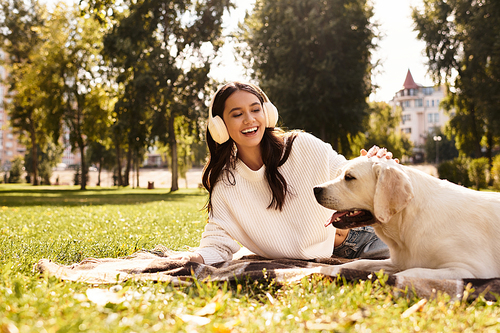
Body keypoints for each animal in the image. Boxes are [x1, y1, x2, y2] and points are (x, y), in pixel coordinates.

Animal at [314, 157, 500, 278]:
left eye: (349, 177)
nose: (316, 189)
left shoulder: (467, 269)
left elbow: (409, 273)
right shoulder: (397, 261)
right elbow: (358, 263)